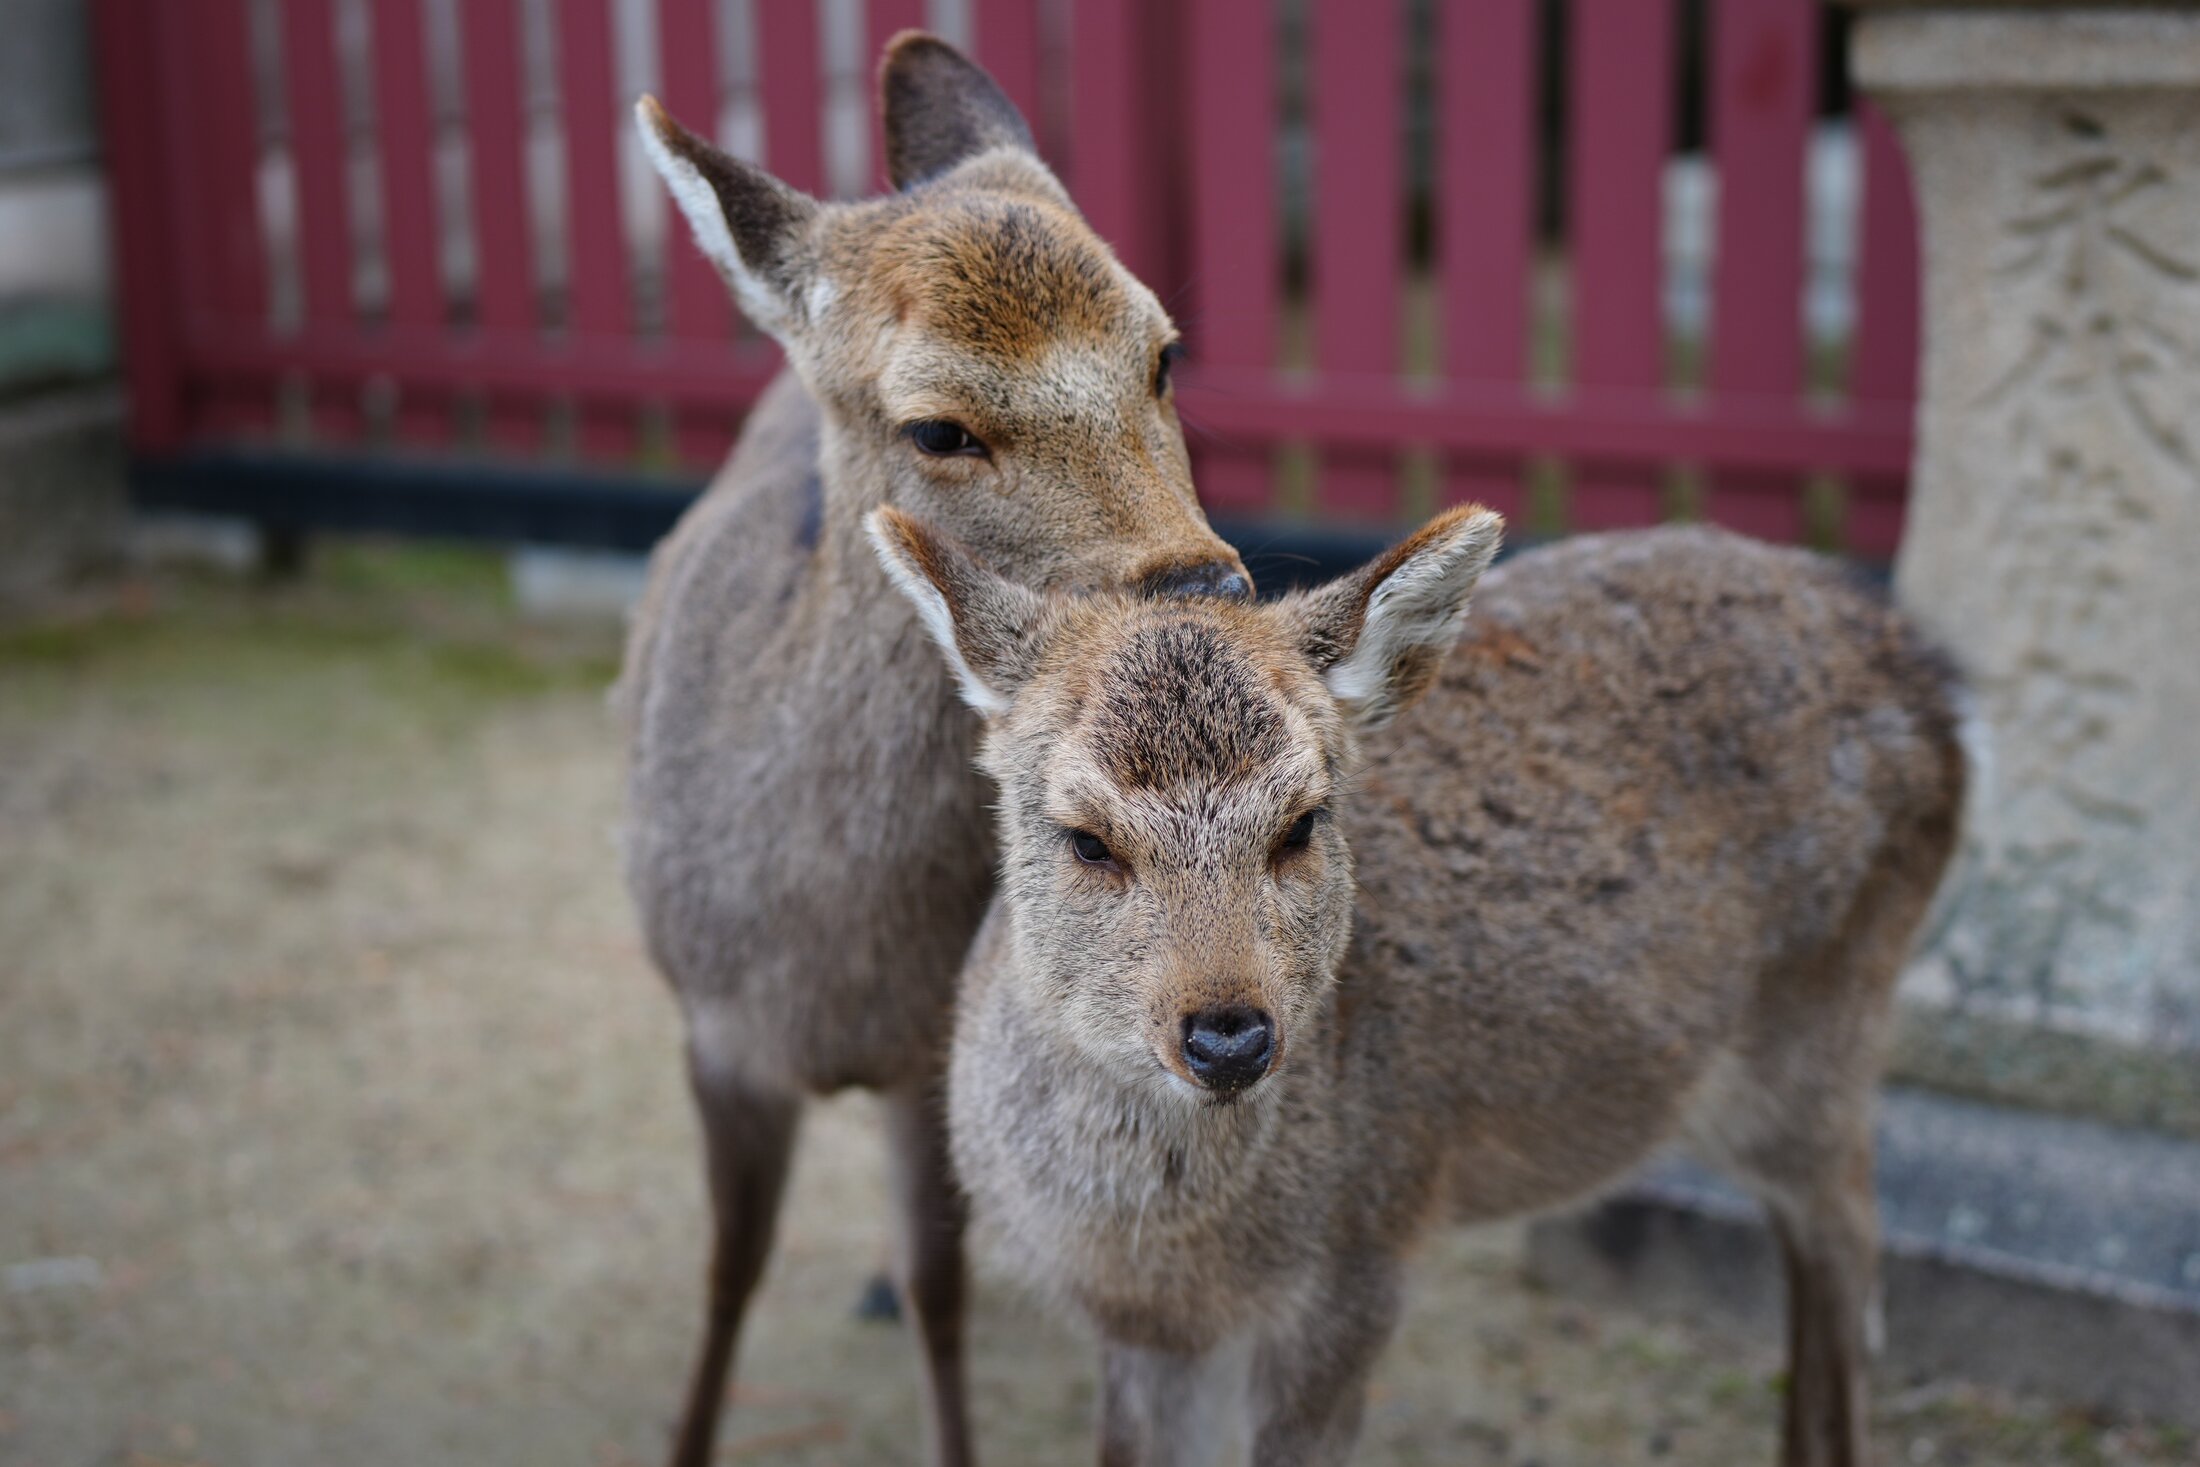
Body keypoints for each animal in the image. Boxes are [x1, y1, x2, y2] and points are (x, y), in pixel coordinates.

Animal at [620, 34, 1251, 1467]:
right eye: (937, 426)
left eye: (1165, 354)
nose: (1204, 585)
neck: (824, 961)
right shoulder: (707, 1026)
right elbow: (726, 1270)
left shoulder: (926, 1050)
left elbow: (939, 1286)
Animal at [868, 503, 1973, 1467]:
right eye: (1086, 838)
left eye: (1303, 821)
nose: (1229, 1034)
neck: (1163, 1245)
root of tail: (1935, 684)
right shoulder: (1147, 1329)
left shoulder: (1360, 1259)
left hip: (1827, 1021)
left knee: (1852, 1243)